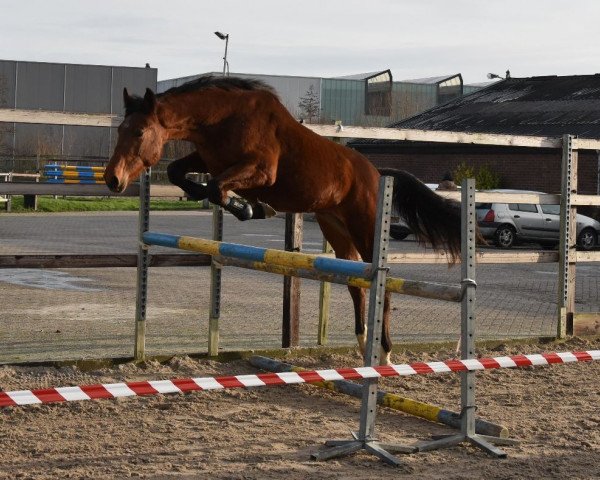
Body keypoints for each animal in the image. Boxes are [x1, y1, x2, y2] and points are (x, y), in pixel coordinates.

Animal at [104, 77, 460, 366]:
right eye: (120, 130)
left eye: (139, 131)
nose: (112, 179)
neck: (222, 119)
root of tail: (376, 173)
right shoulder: (209, 160)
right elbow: (182, 173)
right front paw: (247, 206)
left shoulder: (261, 170)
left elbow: (217, 187)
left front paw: (250, 207)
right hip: (336, 228)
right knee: (357, 284)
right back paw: (362, 343)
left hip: (365, 224)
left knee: (380, 284)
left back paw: (383, 351)